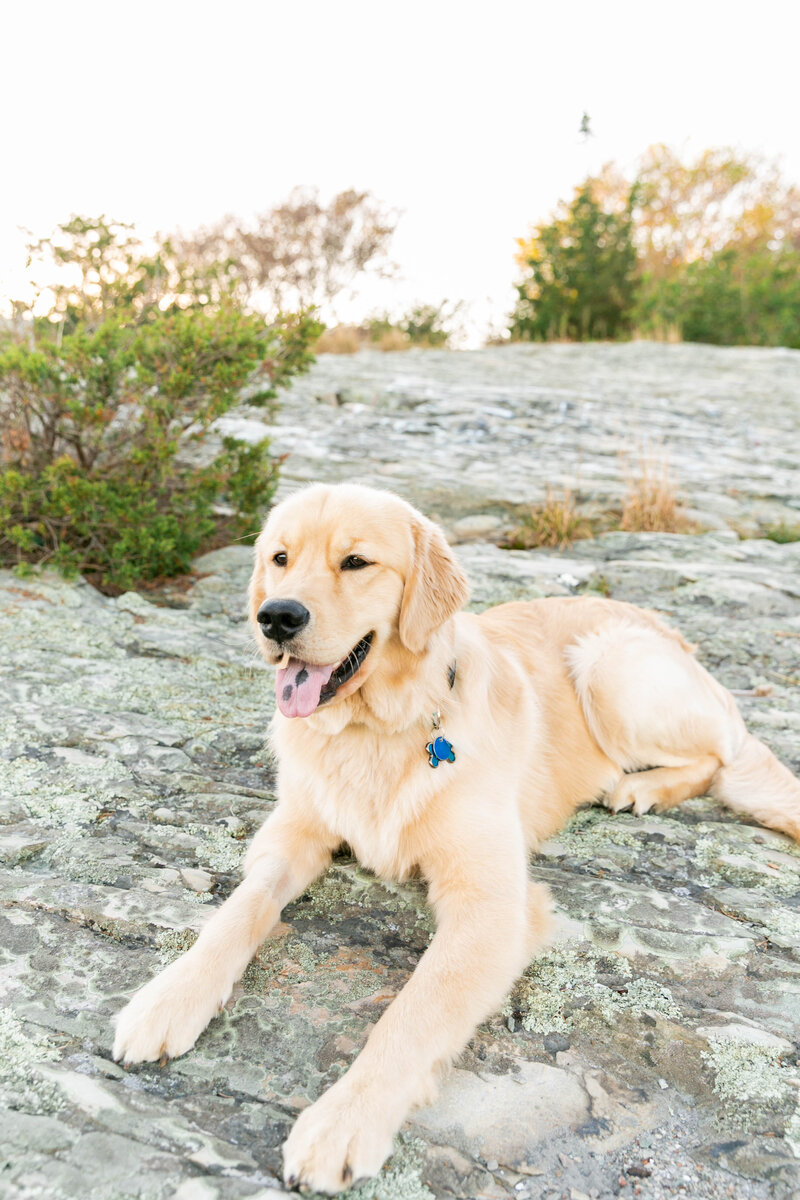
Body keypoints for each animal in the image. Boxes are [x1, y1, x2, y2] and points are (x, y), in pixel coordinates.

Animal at [112, 482, 800, 1195]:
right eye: (279, 558)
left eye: (356, 562)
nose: (276, 618)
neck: (377, 729)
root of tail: (674, 634)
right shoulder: (292, 832)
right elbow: (236, 912)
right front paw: (168, 998)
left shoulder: (491, 903)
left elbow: (413, 1013)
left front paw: (343, 1122)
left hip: (611, 667)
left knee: (717, 759)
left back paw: (643, 788)